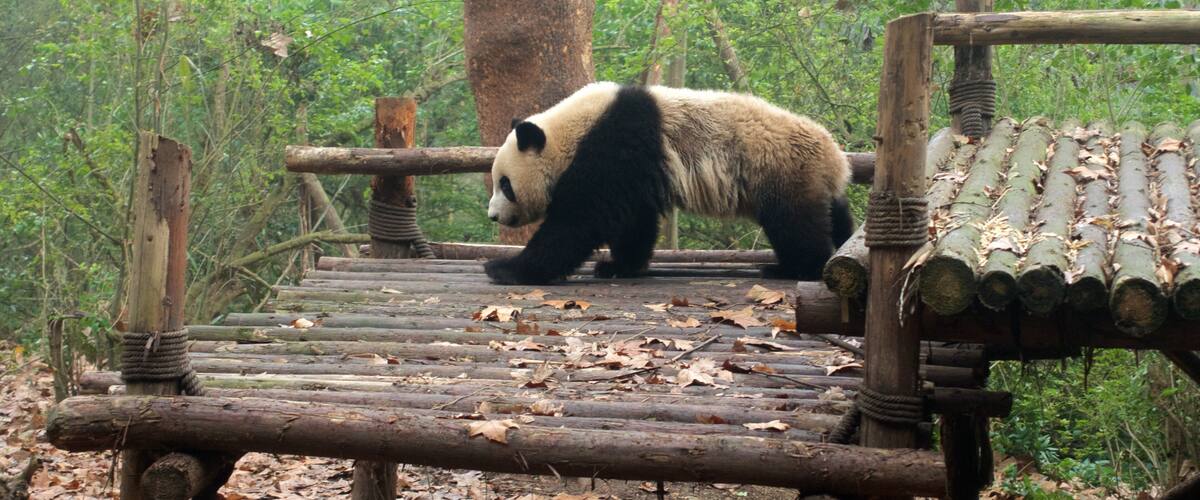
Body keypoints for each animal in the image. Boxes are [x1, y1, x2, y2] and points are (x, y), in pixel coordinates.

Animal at [484, 82, 852, 285]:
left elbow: (578, 221)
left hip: (781, 169)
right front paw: (618, 266)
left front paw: (505, 269)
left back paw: (791, 268)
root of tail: (837, 160)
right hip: (812, 180)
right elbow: (633, 221)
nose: (493, 216)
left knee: (795, 225)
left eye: (505, 185)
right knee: (833, 217)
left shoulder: (614, 144)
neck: (571, 131)